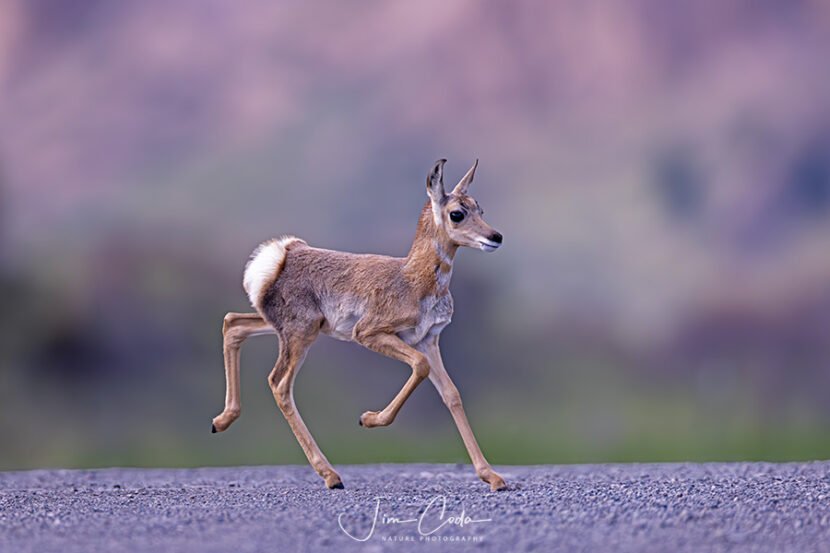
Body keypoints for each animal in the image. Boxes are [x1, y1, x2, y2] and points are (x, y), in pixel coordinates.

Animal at [211, 159, 507, 491]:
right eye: (457, 212)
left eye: (480, 208)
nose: (495, 237)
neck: (412, 277)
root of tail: (284, 254)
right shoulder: (370, 334)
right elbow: (419, 366)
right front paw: (368, 419)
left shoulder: (428, 340)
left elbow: (452, 394)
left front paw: (493, 477)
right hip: (300, 336)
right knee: (279, 383)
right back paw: (330, 475)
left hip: (282, 326)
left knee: (233, 324)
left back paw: (221, 421)